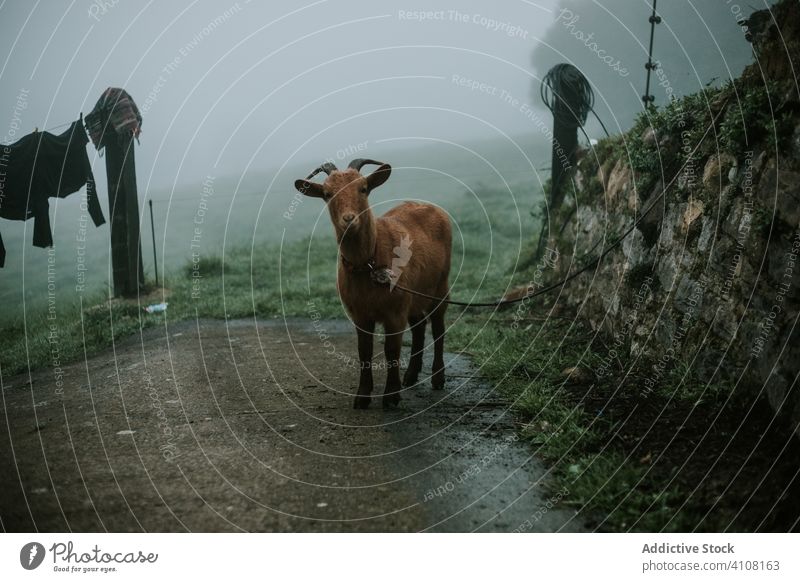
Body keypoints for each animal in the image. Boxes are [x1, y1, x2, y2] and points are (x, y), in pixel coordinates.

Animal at [296, 160, 454, 410]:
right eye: (327, 194)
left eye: (363, 188)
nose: (349, 219)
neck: (368, 264)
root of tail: (430, 206)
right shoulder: (360, 314)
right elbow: (364, 351)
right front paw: (362, 396)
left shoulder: (395, 311)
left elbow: (391, 350)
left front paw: (390, 396)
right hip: (414, 295)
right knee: (419, 325)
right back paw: (410, 376)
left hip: (440, 287)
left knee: (438, 327)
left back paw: (438, 378)